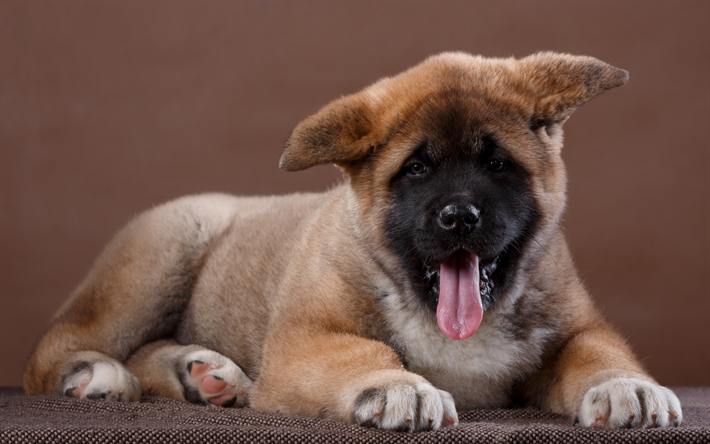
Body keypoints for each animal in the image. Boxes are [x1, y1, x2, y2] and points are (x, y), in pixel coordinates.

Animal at [25, 51, 684, 430]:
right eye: (416, 170)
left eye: (497, 164)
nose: (459, 217)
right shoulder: (305, 341)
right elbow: (366, 352)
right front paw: (399, 388)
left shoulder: (576, 327)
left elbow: (596, 352)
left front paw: (624, 385)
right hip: (166, 251)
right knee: (57, 349)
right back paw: (97, 373)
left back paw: (206, 376)